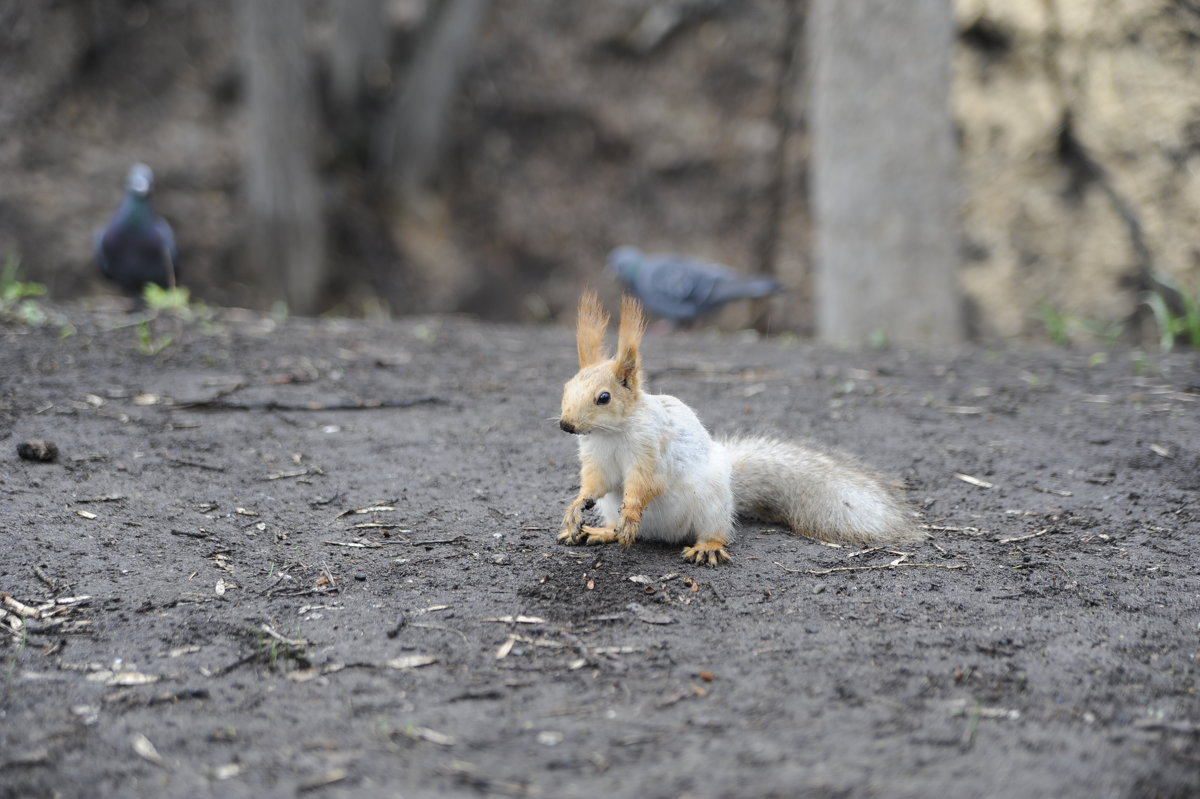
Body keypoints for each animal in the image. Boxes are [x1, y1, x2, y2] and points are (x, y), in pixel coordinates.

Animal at [554, 289, 916, 563]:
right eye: (566, 386)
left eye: (603, 397)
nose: (566, 425)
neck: (610, 434)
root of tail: (663, 534)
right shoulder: (596, 459)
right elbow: (596, 483)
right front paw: (575, 507)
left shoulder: (652, 449)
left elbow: (646, 484)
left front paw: (631, 510)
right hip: (614, 507)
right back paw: (604, 532)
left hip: (711, 504)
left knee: (715, 532)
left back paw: (705, 547)